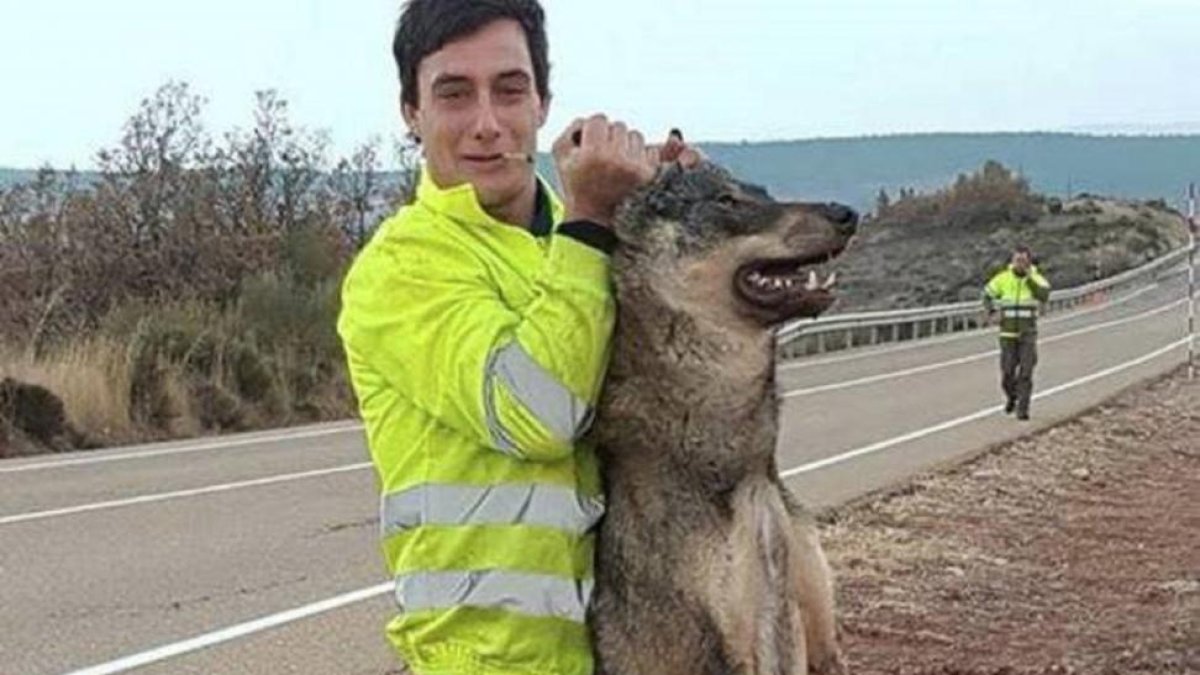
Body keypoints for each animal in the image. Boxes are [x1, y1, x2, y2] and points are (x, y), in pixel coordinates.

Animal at [588, 160, 856, 675]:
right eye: (726, 201)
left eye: (763, 192)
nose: (846, 213)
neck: (746, 468)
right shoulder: (717, 648)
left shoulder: (822, 638)